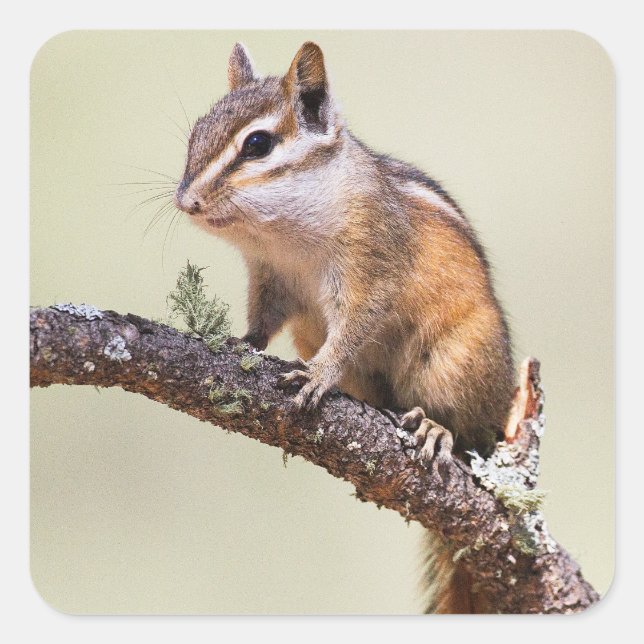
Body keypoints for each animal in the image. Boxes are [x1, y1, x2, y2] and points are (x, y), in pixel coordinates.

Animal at [173, 41, 515, 614]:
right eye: (197, 130)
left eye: (258, 144)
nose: (186, 202)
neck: (282, 235)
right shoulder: (270, 278)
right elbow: (263, 319)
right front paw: (241, 343)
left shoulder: (369, 268)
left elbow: (355, 327)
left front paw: (318, 375)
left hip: (458, 362)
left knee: (469, 435)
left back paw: (436, 428)